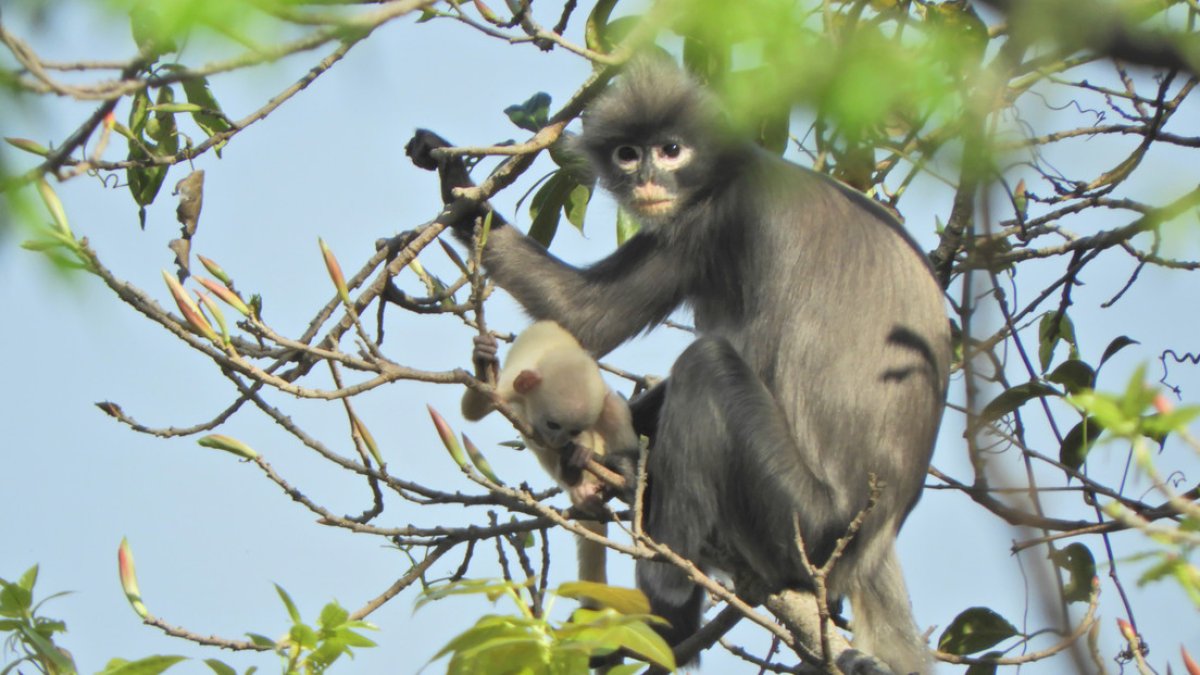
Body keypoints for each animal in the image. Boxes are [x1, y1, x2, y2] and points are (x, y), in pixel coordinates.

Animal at [461, 320, 639, 587]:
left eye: (573, 429)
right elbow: (475, 408)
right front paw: (483, 360)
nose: (559, 440)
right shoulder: (512, 386)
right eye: (553, 425)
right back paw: (574, 478)